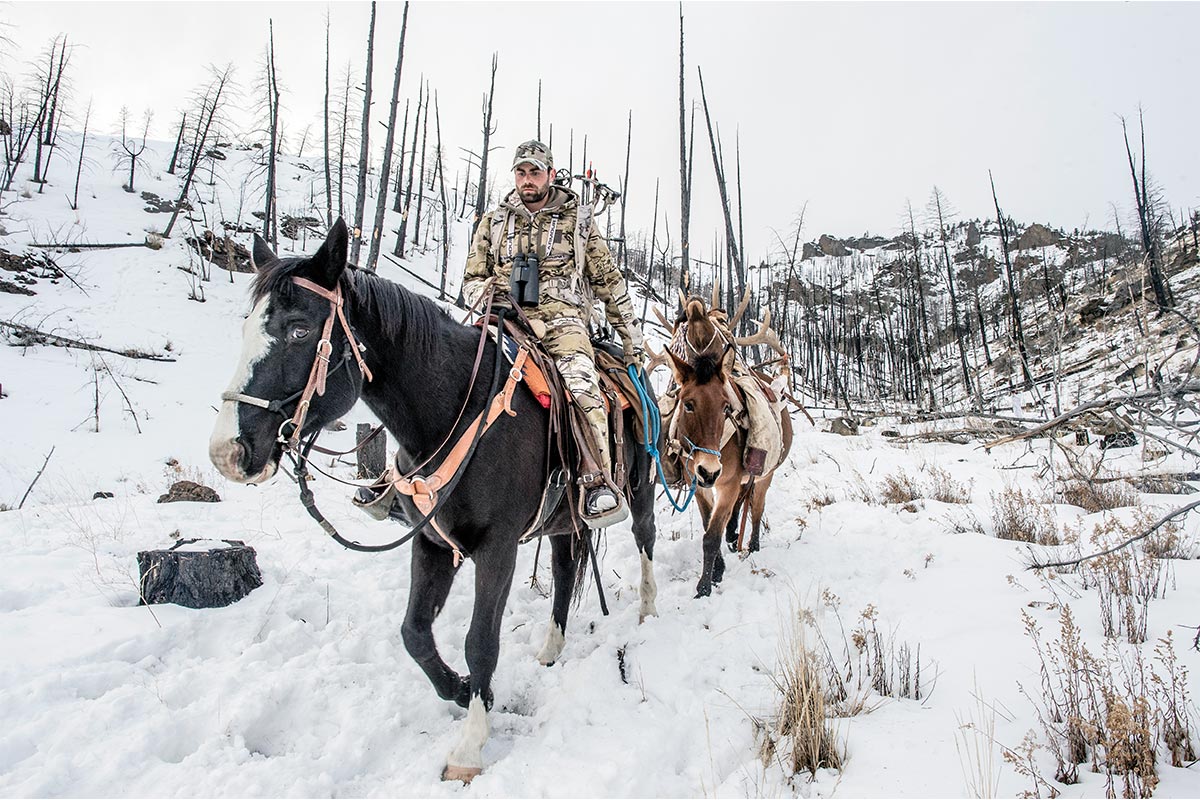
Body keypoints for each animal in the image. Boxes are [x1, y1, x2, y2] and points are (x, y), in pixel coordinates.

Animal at [206, 220, 657, 782]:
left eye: (298, 330)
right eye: (247, 327)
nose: (228, 452)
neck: (450, 412)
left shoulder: (497, 548)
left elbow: (480, 642)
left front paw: (468, 750)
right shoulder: (432, 542)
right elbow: (414, 632)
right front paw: (461, 691)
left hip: (640, 489)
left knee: (644, 539)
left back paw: (648, 610)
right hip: (562, 520)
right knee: (563, 570)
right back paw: (551, 649)